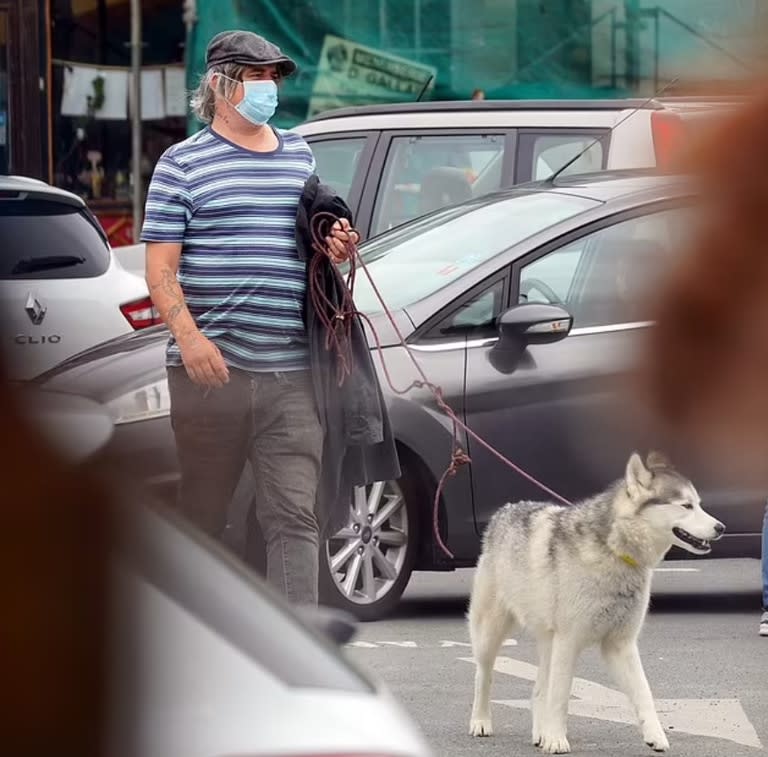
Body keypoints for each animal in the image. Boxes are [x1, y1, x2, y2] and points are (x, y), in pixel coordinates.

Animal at [468, 452, 728, 752]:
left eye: (699, 504)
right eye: (686, 505)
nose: (721, 527)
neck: (614, 551)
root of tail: (504, 511)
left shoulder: (620, 645)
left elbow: (644, 693)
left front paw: (655, 734)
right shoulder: (568, 643)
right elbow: (560, 697)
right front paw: (557, 739)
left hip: (548, 641)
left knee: (538, 689)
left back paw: (540, 732)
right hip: (491, 634)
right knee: (484, 675)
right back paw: (481, 721)